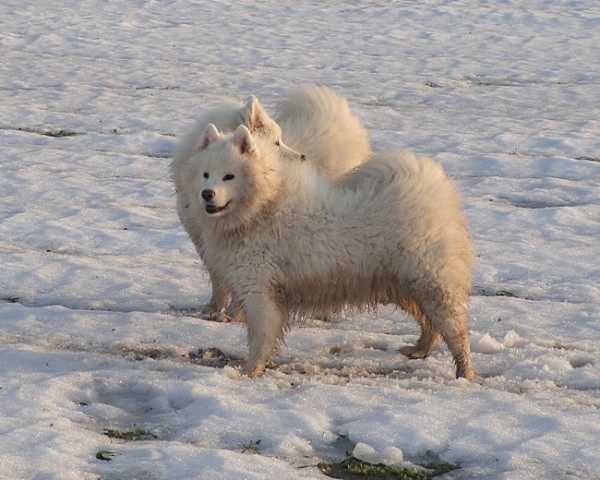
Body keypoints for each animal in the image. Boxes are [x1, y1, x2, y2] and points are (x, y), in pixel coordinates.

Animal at [171, 86, 370, 316]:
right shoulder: (204, 240)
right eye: (276, 142)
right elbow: (218, 277)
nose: (304, 157)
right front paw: (215, 307)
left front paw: (235, 313)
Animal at [183, 124, 478, 382]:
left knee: (456, 331)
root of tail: (431, 188)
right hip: (405, 284)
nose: (207, 194)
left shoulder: (259, 291)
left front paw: (250, 370)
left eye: (229, 176)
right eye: (206, 174)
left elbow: (260, 336)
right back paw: (419, 349)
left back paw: (464, 373)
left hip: (429, 281)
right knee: (430, 324)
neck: (263, 205)